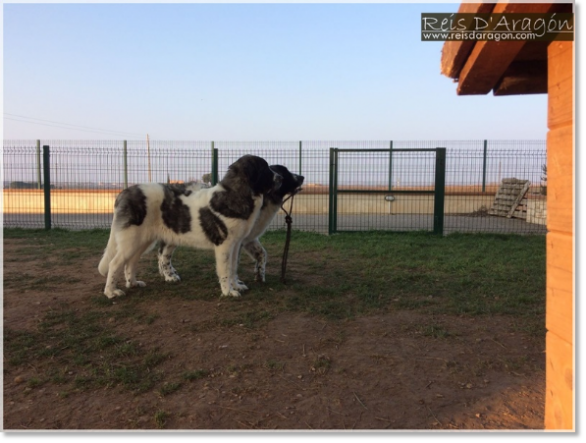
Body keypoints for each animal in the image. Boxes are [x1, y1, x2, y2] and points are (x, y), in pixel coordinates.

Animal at [97, 155, 282, 298]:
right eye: (265, 169)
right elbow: (224, 270)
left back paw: (134, 283)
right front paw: (228, 291)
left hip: (142, 241)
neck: (235, 194)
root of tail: (124, 193)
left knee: (130, 262)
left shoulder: (236, 244)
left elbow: (233, 268)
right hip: (131, 240)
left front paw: (236, 285)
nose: (279, 177)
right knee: (114, 264)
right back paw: (111, 292)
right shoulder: (224, 245)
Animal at [156, 165, 302, 286]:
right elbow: (234, 262)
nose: (302, 177)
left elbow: (262, 254)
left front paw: (260, 275)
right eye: (285, 172)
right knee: (164, 255)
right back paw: (169, 276)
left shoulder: (249, 238)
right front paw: (236, 282)